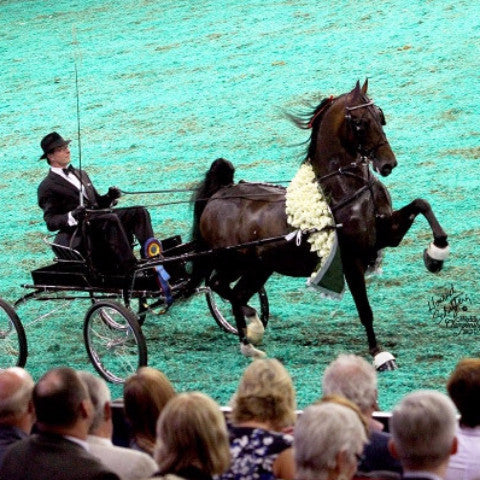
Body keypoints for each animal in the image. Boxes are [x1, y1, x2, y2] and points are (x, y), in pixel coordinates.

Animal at [188, 80, 450, 370]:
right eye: (360, 122)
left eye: (379, 115)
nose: (387, 163)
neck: (347, 189)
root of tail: (219, 194)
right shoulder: (352, 260)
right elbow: (365, 309)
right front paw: (379, 354)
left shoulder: (384, 235)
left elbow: (422, 204)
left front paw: (436, 253)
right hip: (232, 262)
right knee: (218, 286)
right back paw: (252, 328)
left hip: (259, 267)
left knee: (237, 294)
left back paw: (250, 341)